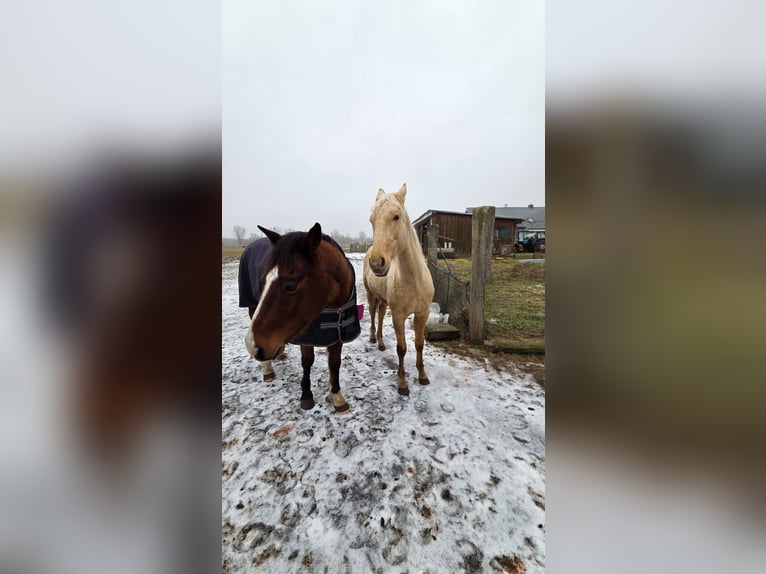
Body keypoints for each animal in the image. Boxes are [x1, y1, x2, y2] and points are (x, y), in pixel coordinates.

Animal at [245, 223, 361, 412]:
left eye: (291, 285)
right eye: (264, 280)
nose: (253, 346)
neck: (335, 306)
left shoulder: (338, 333)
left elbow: (334, 363)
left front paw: (336, 395)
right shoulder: (306, 333)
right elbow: (307, 362)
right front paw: (306, 394)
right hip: (252, 306)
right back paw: (267, 369)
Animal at [364, 183, 435, 396]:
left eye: (396, 216)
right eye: (372, 220)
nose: (377, 263)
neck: (413, 280)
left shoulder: (422, 314)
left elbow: (419, 344)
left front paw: (422, 376)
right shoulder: (398, 316)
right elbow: (401, 348)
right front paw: (403, 384)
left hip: (383, 300)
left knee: (380, 315)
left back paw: (380, 342)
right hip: (371, 294)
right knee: (373, 314)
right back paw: (373, 338)